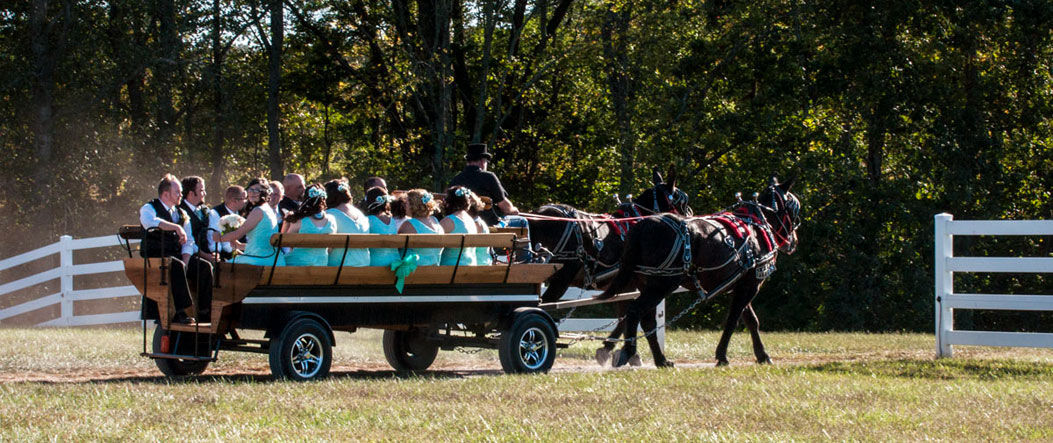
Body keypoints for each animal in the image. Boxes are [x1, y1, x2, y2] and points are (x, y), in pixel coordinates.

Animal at [598, 175, 800, 366]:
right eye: (794, 209)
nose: (793, 242)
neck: (756, 226)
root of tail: (641, 226)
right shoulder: (751, 284)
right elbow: (733, 320)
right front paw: (722, 356)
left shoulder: (739, 284)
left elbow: (751, 320)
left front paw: (761, 355)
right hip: (661, 284)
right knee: (635, 311)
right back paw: (629, 352)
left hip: (647, 283)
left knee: (646, 320)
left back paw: (661, 360)